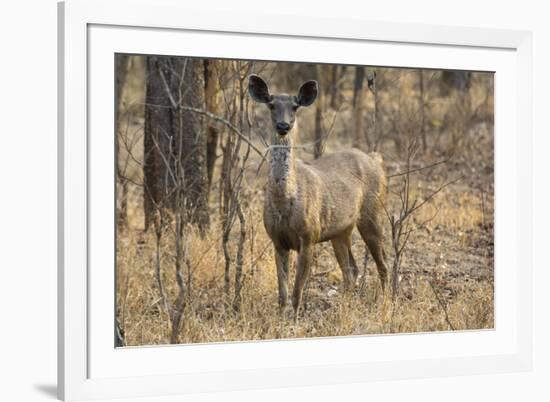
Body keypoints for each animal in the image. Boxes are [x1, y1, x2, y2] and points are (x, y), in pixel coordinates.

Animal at [248, 74, 390, 314]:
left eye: (295, 106)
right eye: (271, 104)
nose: (283, 126)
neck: (285, 204)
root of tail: (376, 159)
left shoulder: (309, 237)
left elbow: (296, 294)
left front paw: (294, 319)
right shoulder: (277, 240)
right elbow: (282, 296)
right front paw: (280, 319)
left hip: (373, 213)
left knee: (383, 264)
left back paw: (388, 304)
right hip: (341, 230)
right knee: (351, 269)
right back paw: (345, 307)